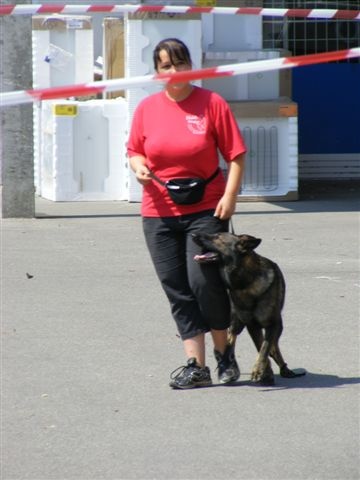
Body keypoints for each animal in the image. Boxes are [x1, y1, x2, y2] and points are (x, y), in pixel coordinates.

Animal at [193, 232, 306, 386]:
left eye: (217, 237)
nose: (193, 234)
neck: (245, 282)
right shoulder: (252, 325)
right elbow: (260, 347)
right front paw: (265, 372)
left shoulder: (273, 324)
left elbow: (265, 347)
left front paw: (260, 370)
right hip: (237, 322)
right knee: (231, 338)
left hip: (277, 327)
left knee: (274, 345)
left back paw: (284, 368)